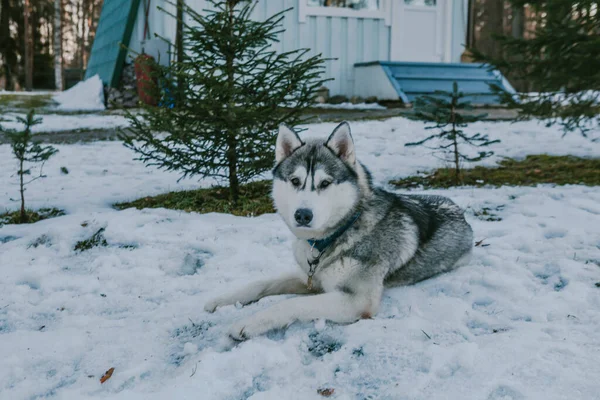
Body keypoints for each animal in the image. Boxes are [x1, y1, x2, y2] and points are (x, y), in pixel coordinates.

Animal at [206, 120, 474, 340]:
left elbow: (289, 305)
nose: (302, 215)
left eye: (325, 183)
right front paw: (219, 301)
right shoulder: (309, 277)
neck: (337, 234)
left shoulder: (356, 300)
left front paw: (248, 323)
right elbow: (261, 283)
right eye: (295, 181)